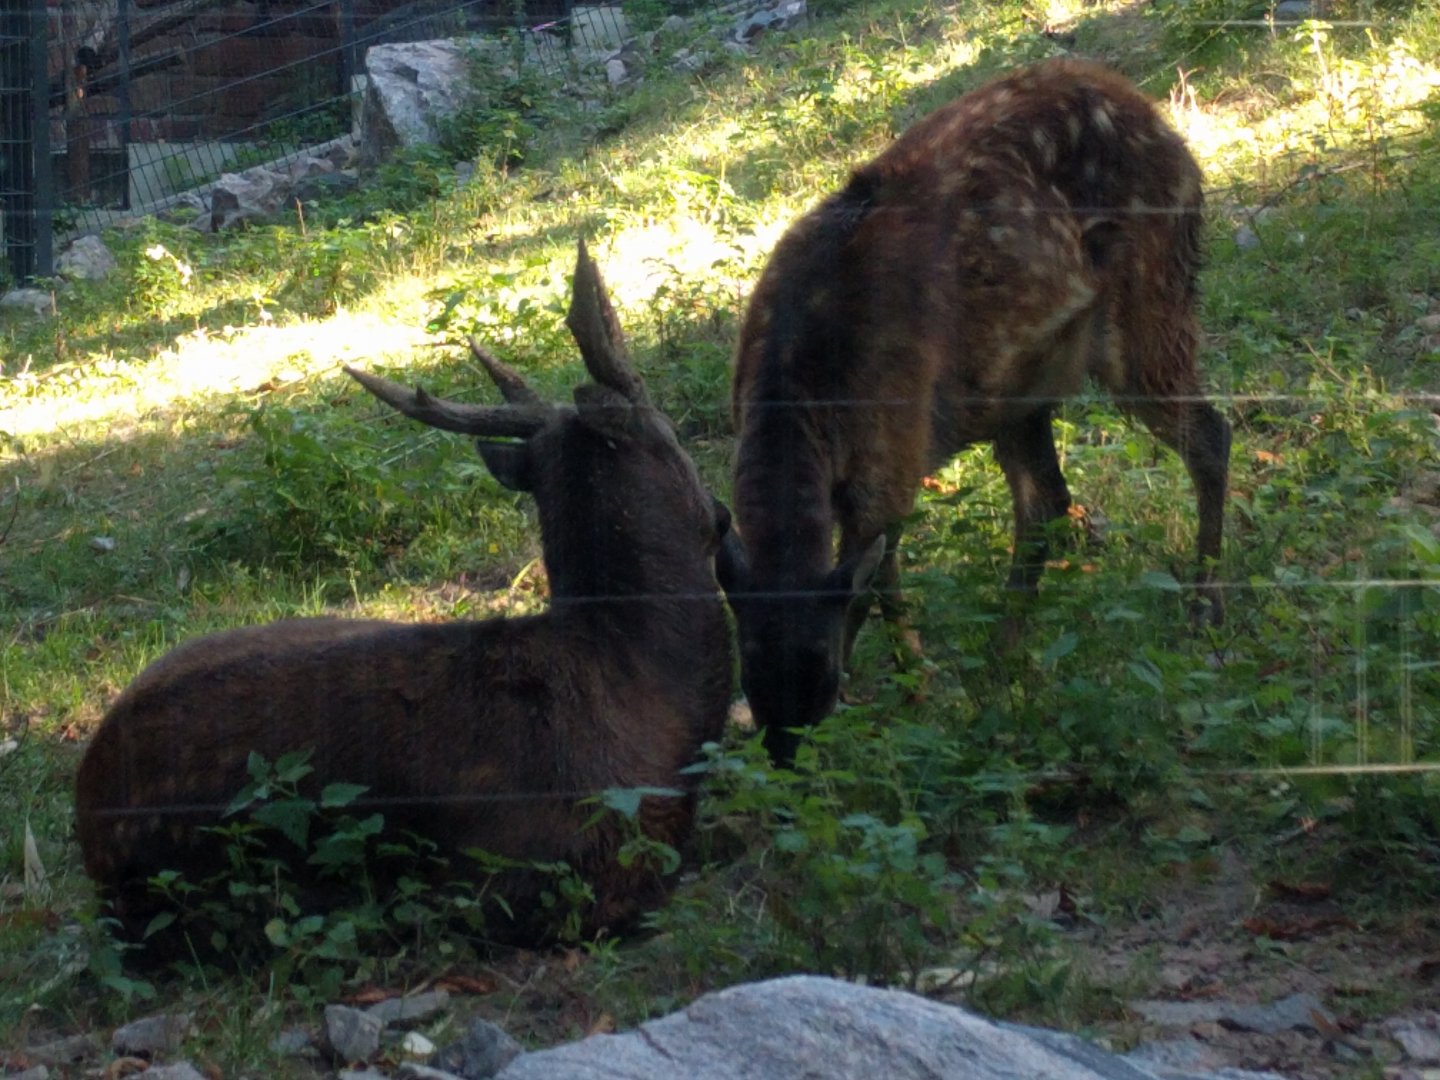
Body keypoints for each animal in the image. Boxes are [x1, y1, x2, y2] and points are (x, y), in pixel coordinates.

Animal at [716, 59, 1231, 766]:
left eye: (820, 663)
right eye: (746, 666)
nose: (785, 756)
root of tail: (1169, 130)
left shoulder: (894, 452)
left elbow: (877, 582)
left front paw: (916, 685)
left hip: (1149, 303)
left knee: (1209, 434)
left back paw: (1202, 609)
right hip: (1020, 381)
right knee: (1046, 499)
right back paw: (1004, 658)